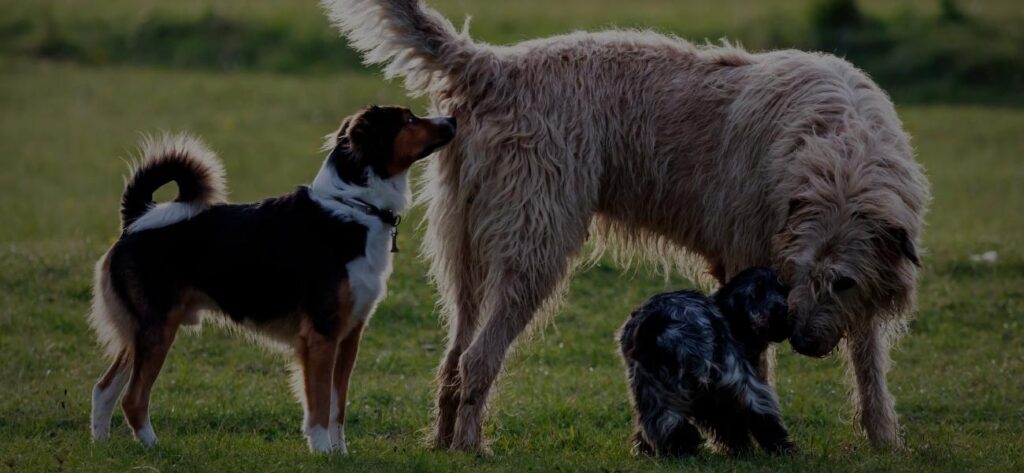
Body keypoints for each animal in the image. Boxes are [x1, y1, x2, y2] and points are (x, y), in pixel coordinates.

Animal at [88, 105, 456, 452]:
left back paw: (102, 444)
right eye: (409, 120)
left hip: (143, 334)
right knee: (132, 398)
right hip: (158, 330)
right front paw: (321, 450)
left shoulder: (349, 336)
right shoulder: (322, 335)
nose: (453, 119)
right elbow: (319, 404)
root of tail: (137, 220)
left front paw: (340, 452)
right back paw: (154, 447)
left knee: (104, 389)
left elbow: (338, 407)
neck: (355, 207)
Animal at [618, 266, 794, 454]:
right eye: (755, 293)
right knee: (757, 413)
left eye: (783, 290)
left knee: (664, 423)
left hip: (651, 387)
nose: (783, 309)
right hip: (733, 375)